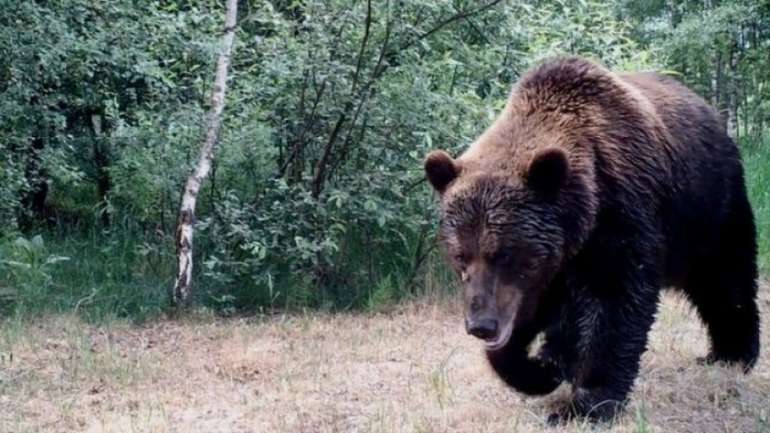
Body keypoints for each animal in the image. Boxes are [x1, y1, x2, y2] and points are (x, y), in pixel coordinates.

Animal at [424, 56, 760, 422]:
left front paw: (583, 403)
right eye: (460, 255)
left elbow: (616, 305)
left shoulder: (622, 219)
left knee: (725, 278)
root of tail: (711, 112)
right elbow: (534, 318)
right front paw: (536, 369)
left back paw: (731, 354)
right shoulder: (552, 266)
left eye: (505, 254)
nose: (481, 325)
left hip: (709, 208)